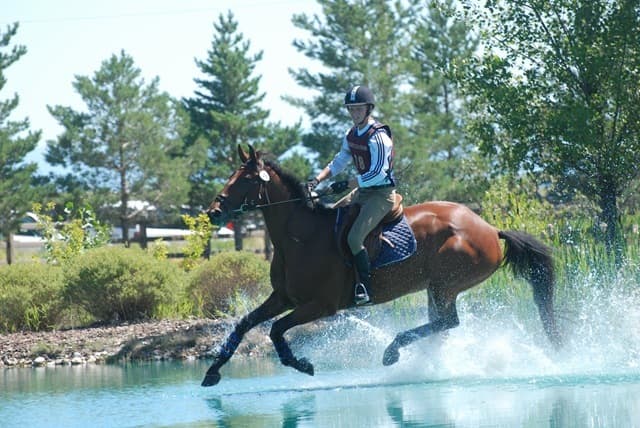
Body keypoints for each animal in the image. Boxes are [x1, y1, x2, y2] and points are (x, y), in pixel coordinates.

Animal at [201, 145, 561, 387]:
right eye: (231, 176)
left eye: (246, 179)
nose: (213, 213)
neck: (300, 238)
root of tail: (488, 228)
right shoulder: (284, 298)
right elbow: (245, 324)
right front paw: (213, 371)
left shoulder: (322, 305)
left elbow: (276, 330)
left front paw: (301, 363)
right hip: (436, 288)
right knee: (442, 325)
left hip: (446, 284)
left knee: (449, 322)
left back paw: (392, 351)